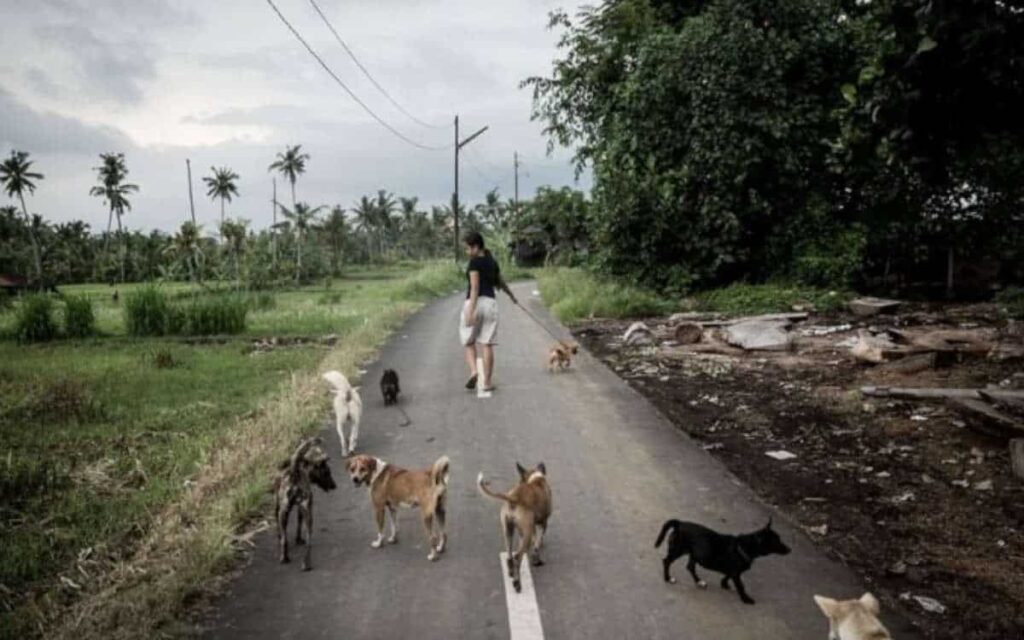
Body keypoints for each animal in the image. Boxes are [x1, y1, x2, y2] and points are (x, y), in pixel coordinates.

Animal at [477, 460, 552, 589]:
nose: (519, 482)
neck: (535, 479)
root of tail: (514, 498)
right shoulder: (542, 523)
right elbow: (537, 544)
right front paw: (537, 559)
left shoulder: (531, 528)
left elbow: (535, 540)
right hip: (525, 533)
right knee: (518, 556)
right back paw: (517, 582)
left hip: (508, 531)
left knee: (510, 555)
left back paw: (511, 572)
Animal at [655, 516, 790, 602]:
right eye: (776, 541)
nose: (790, 549)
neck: (745, 546)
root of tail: (679, 523)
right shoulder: (736, 573)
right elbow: (741, 586)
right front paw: (746, 598)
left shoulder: (733, 571)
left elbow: (727, 575)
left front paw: (724, 584)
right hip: (677, 550)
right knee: (666, 561)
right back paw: (668, 578)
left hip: (695, 554)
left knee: (690, 567)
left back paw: (699, 581)